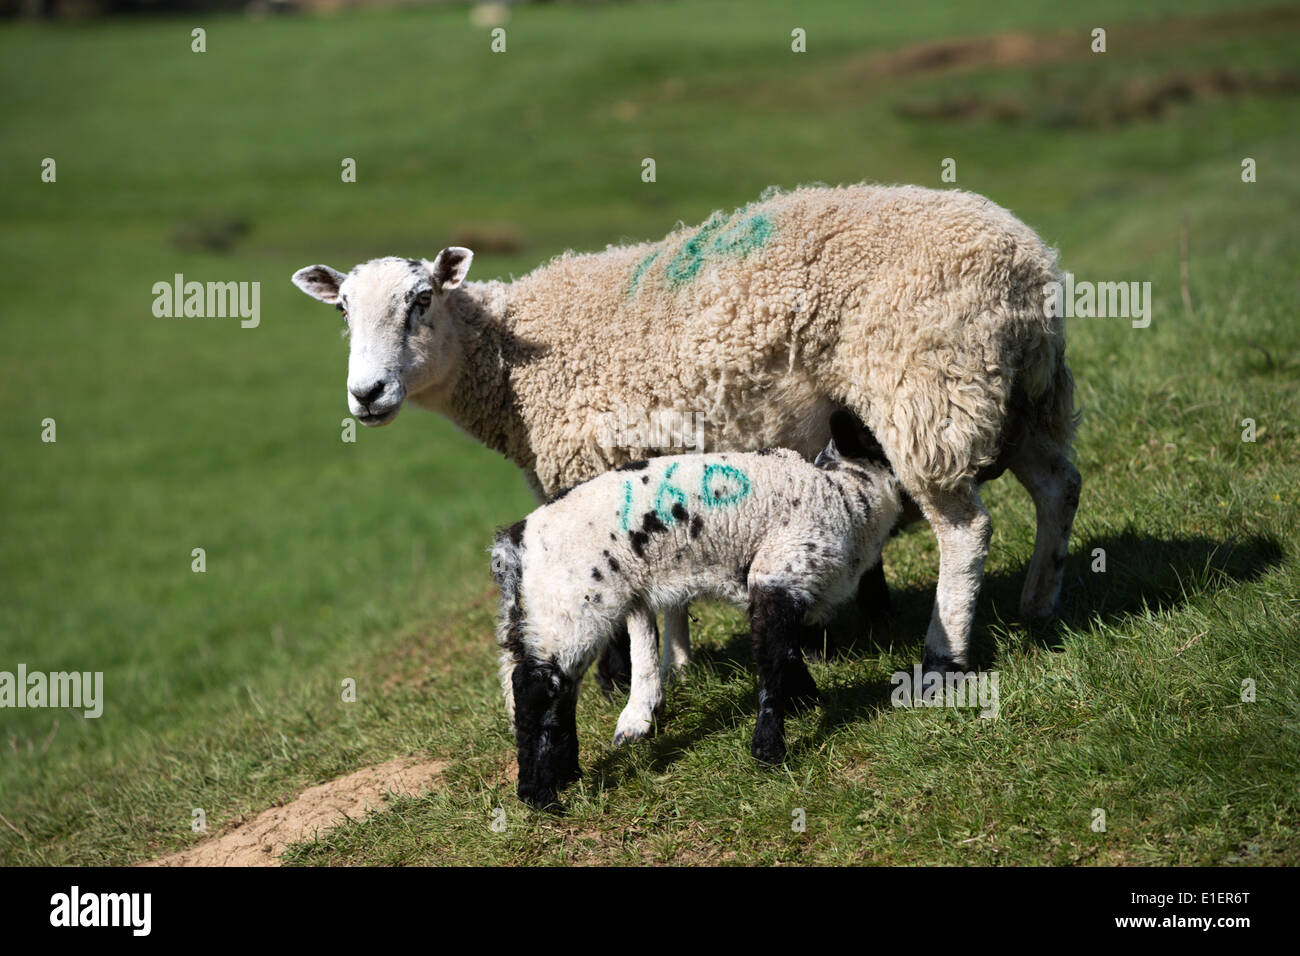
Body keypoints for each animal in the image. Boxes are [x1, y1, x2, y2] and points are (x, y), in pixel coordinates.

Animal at [290, 182, 1080, 743]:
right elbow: (665, 591)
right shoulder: (654, 467)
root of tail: (1030, 263)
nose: (367, 395)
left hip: (926, 386)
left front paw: (640, 701)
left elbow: (637, 609)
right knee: (1058, 486)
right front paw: (678, 662)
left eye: (422, 300)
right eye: (342, 313)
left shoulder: (604, 465)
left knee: (964, 528)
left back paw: (945, 653)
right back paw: (1039, 604)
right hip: (1016, 390)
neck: (510, 368)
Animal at [492, 412, 904, 808]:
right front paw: (770, 750)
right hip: (574, 605)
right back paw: (539, 795)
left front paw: (807, 701)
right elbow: (774, 660)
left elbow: (786, 653)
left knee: (557, 690)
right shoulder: (779, 573)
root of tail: (516, 540)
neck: (844, 497)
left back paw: (566, 775)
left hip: (559, 611)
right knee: (531, 688)